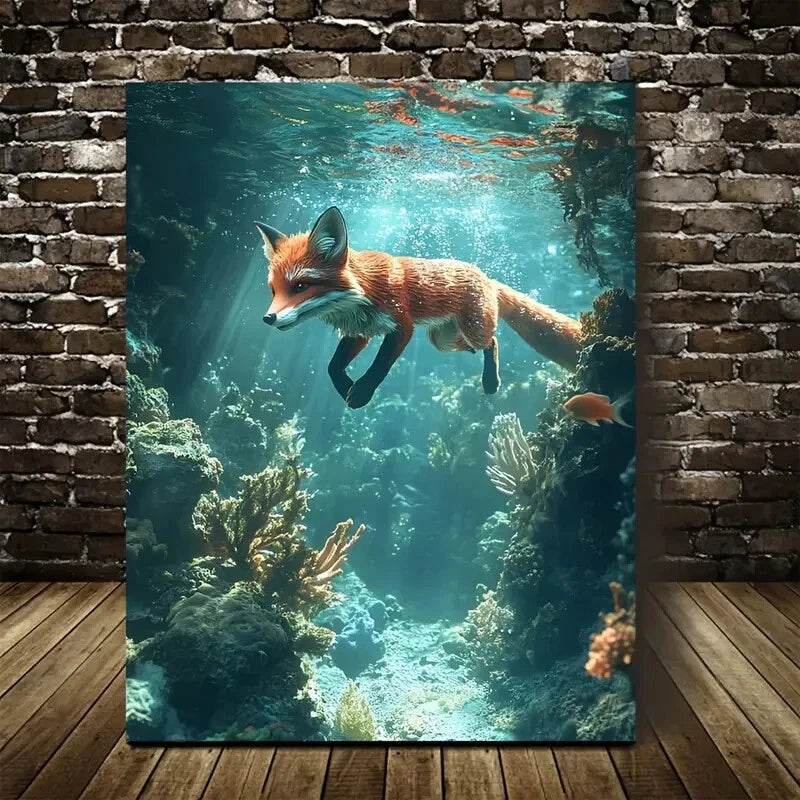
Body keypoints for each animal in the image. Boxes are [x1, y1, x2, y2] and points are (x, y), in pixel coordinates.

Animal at [257, 206, 583, 410]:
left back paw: (490, 382)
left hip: (470, 329)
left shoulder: (402, 325)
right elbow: (332, 366)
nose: (268, 318)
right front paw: (346, 386)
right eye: (274, 290)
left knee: (492, 341)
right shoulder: (361, 330)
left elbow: (380, 365)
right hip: (442, 340)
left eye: (300, 286)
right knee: (479, 344)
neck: (358, 296)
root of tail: (486, 276)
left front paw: (362, 392)